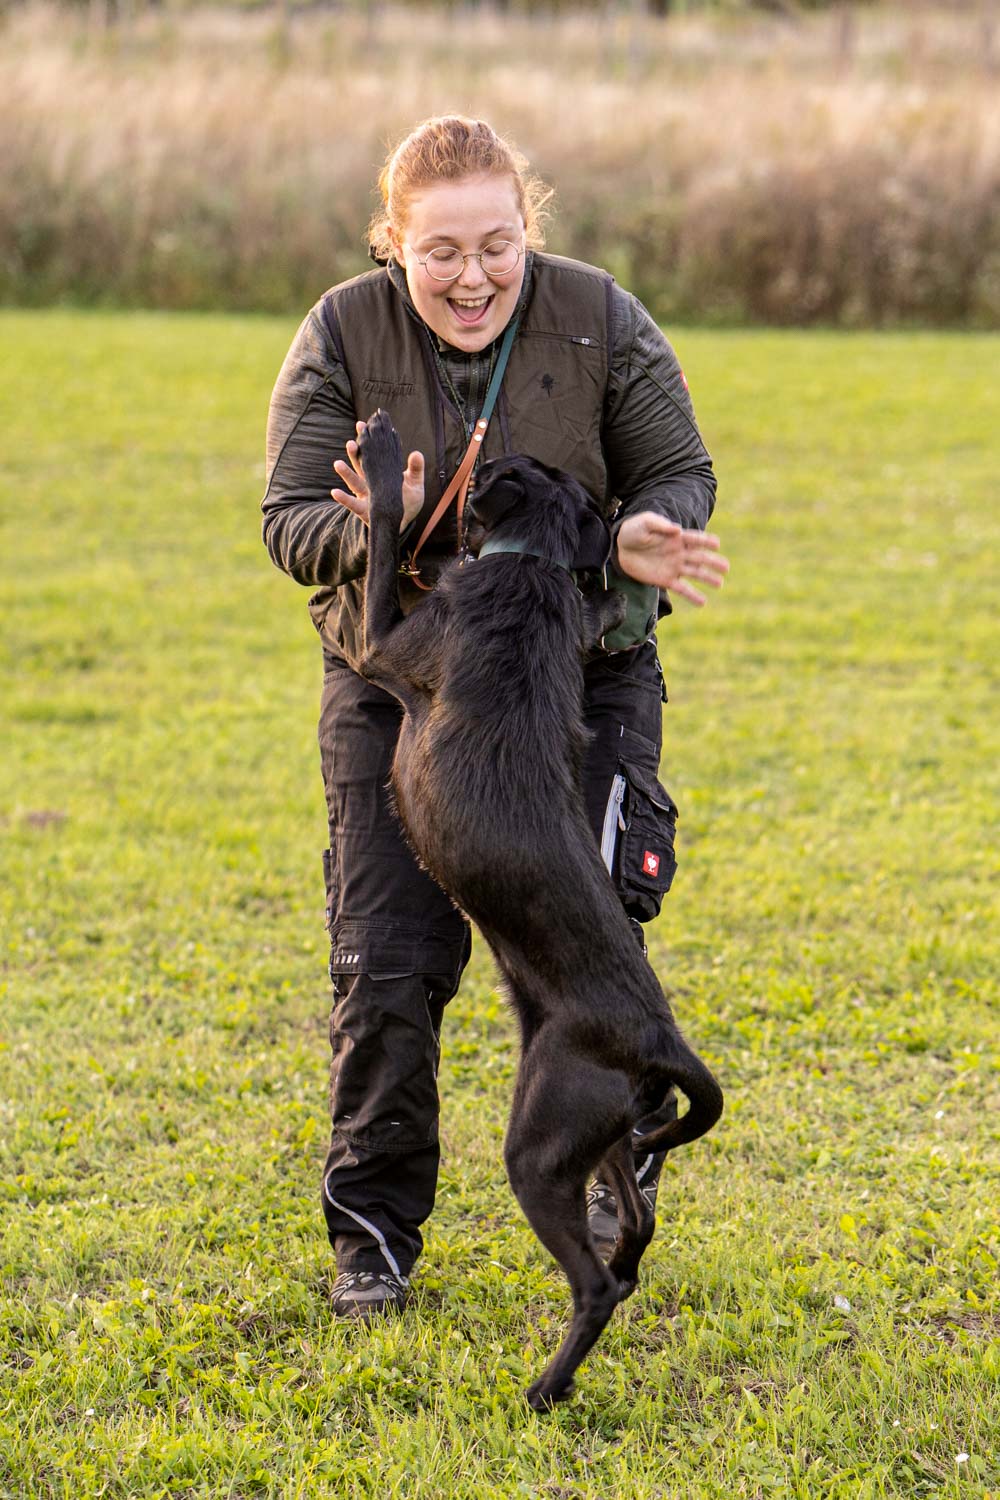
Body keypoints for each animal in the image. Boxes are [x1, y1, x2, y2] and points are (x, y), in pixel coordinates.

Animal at [355, 408, 722, 1404]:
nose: (470, 454)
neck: (537, 561)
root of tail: (660, 1039)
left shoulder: (385, 646)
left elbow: (382, 543)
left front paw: (381, 465)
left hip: (538, 1141)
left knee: (597, 1284)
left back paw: (543, 1391)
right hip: (598, 1131)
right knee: (633, 1229)